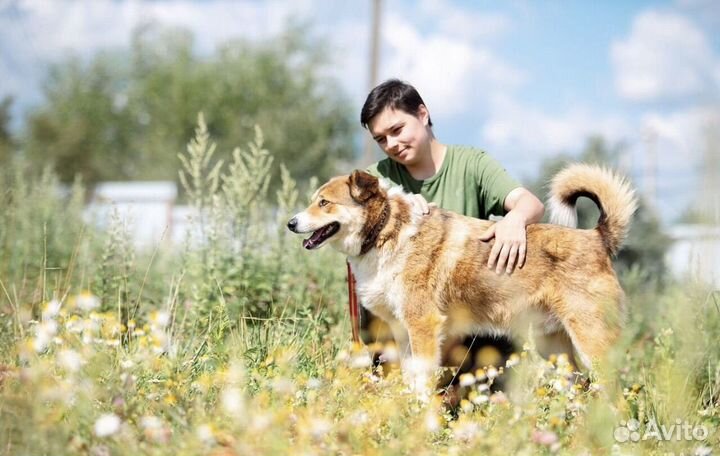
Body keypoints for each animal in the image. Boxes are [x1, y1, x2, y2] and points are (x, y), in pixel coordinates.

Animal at [286, 164, 636, 392]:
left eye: (324, 202)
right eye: (314, 200)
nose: (290, 223)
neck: (387, 230)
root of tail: (597, 237)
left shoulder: (424, 327)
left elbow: (423, 383)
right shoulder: (403, 332)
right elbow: (411, 378)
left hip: (590, 342)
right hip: (553, 347)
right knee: (578, 385)